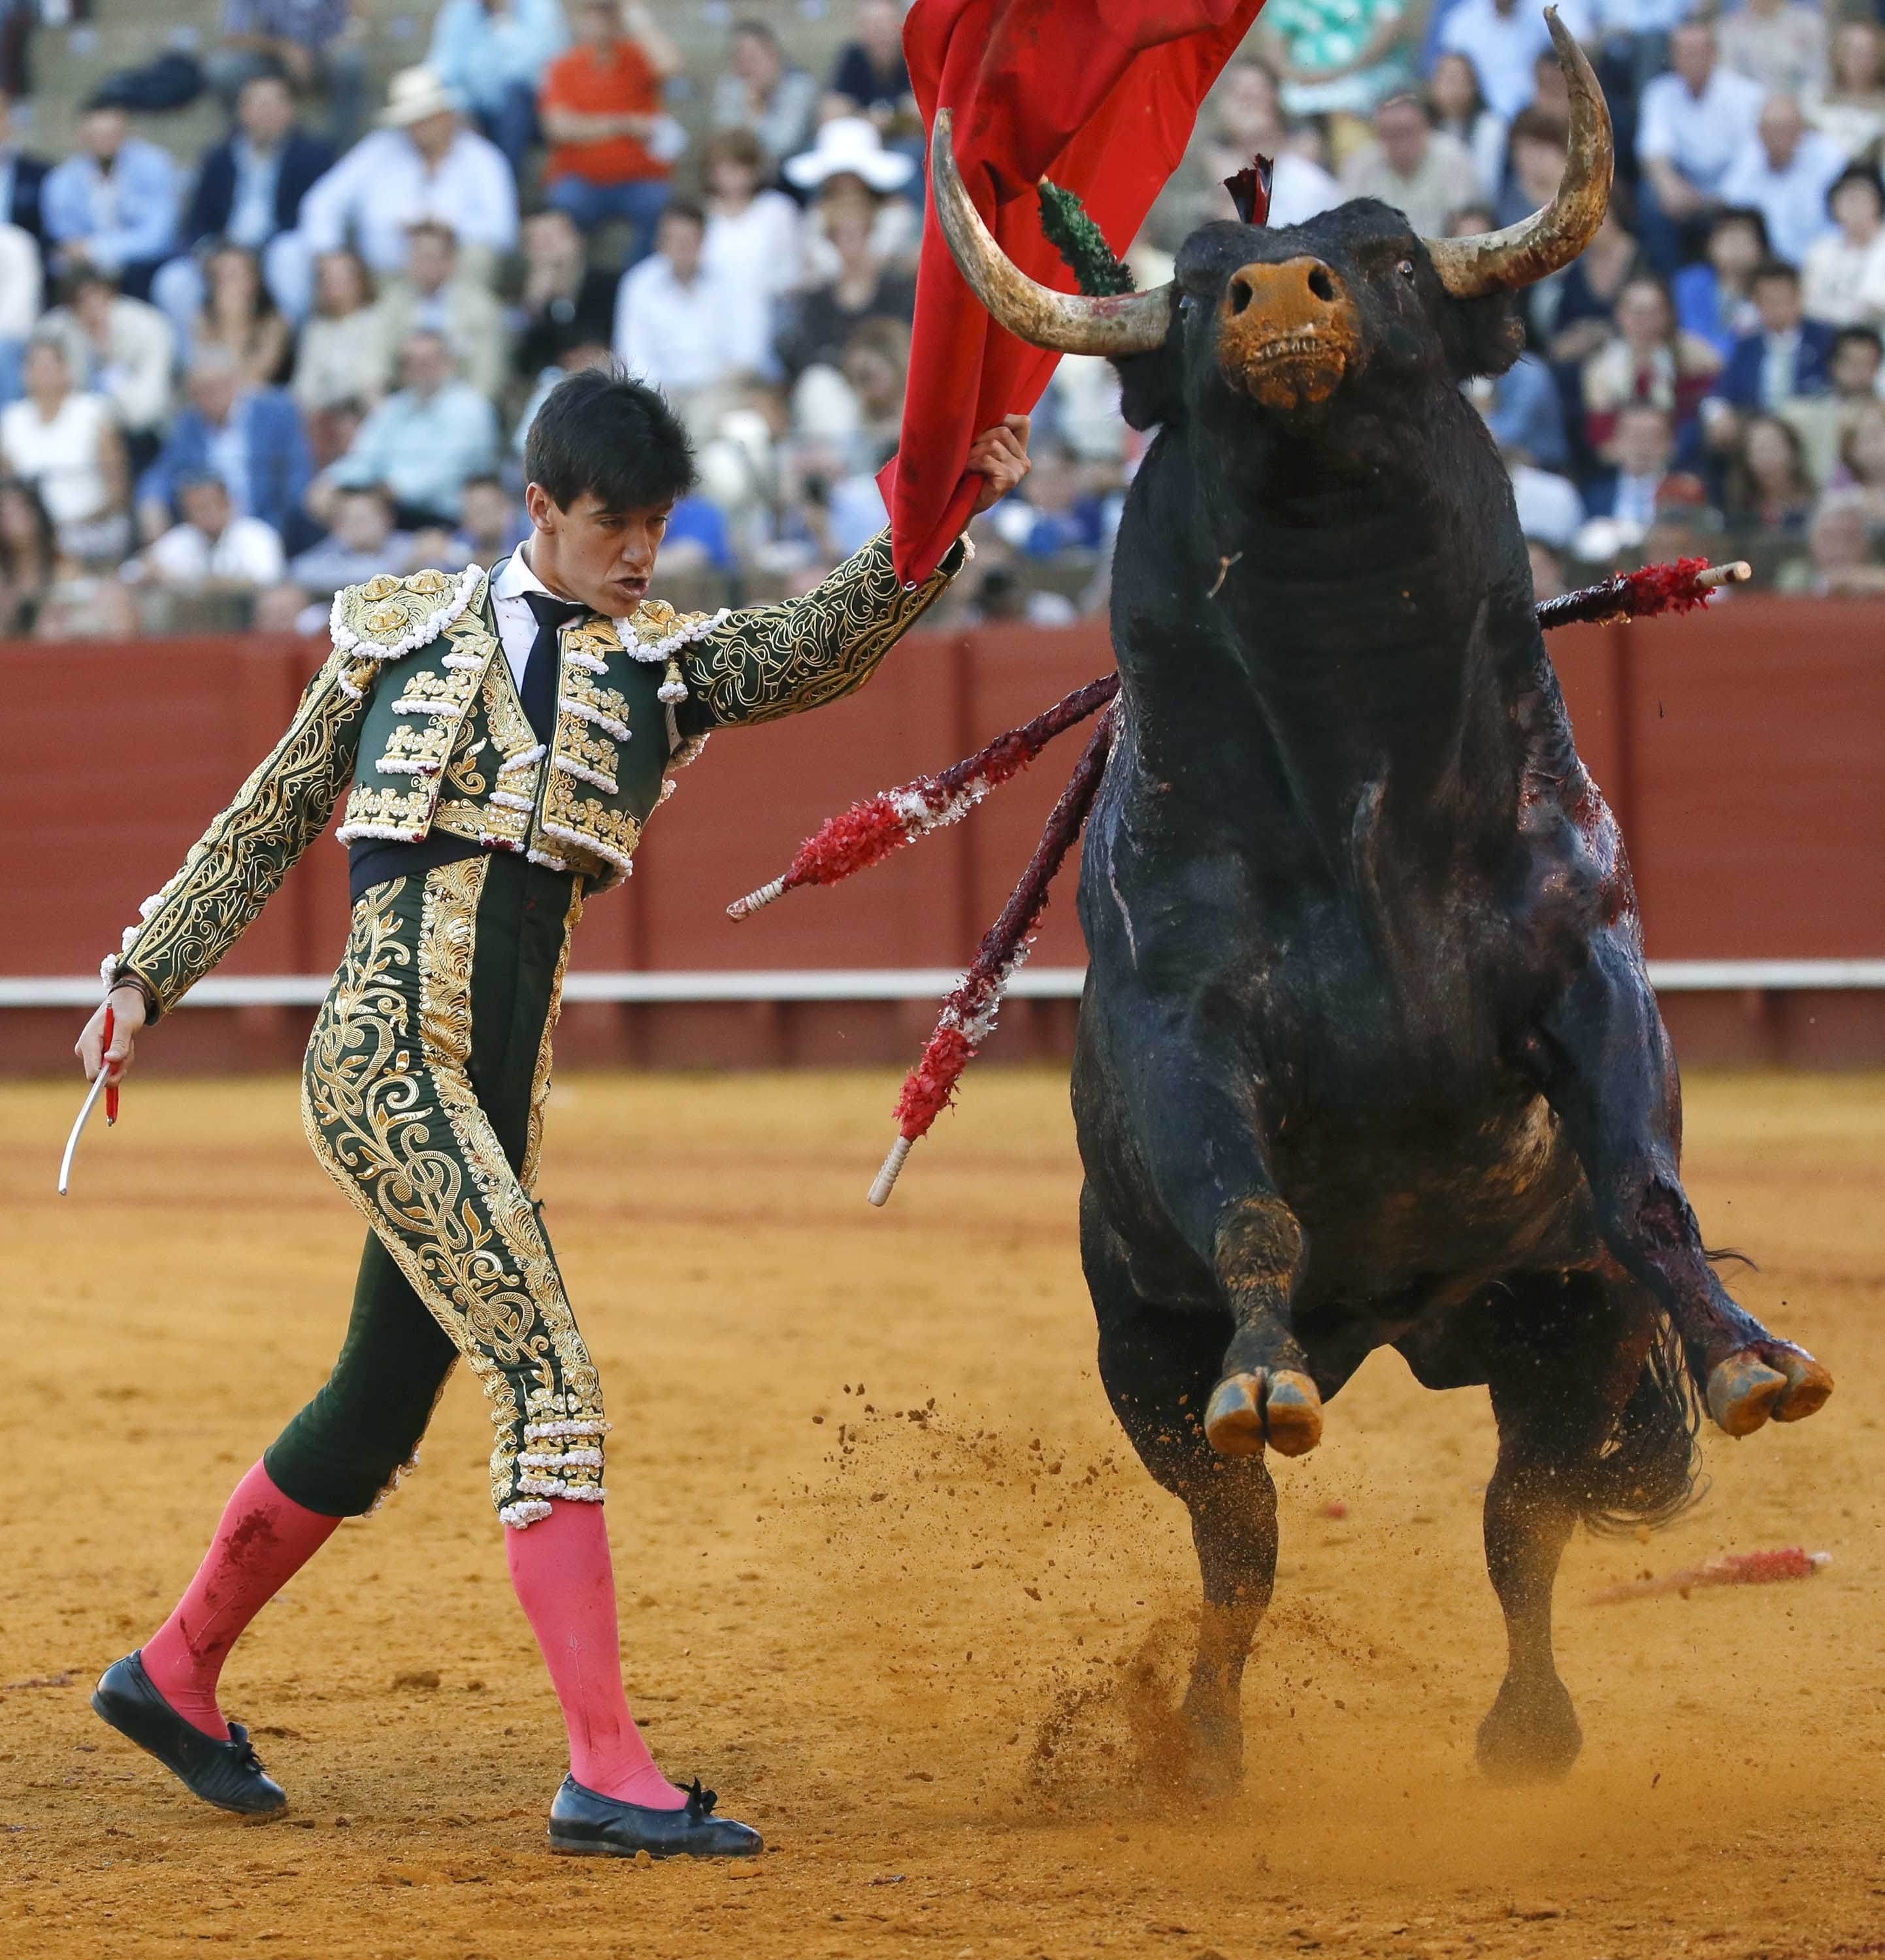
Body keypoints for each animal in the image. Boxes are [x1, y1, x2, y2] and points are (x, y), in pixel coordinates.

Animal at [932, 19, 1826, 1795]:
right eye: (1194, 294)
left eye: (1395, 260)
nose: (1281, 290)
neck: (1357, 754)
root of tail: (1411, 1329)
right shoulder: (1180, 1031)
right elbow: (1249, 1210)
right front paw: (1265, 1371)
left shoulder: (1587, 971)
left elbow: (1649, 1189)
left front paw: (1752, 1355)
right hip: (1141, 1361)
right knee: (1238, 1552)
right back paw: (1202, 1739)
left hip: (1558, 1337)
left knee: (1521, 1522)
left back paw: (1529, 1731)